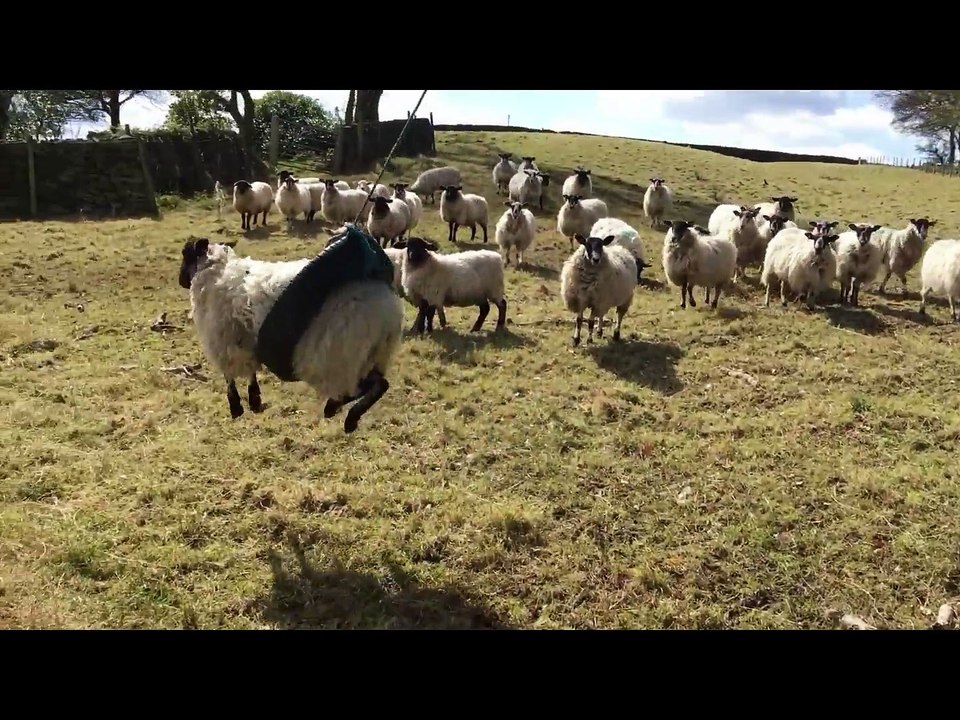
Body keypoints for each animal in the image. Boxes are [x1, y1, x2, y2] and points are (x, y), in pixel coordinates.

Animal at [177, 234, 403, 433]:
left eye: (186, 254)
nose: (180, 281)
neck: (215, 269)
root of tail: (389, 312)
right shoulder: (245, 341)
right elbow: (250, 372)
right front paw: (254, 399)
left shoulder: (223, 343)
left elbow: (230, 377)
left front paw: (237, 407)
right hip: (371, 355)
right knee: (379, 384)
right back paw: (340, 412)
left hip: (340, 358)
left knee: (364, 387)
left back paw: (342, 412)